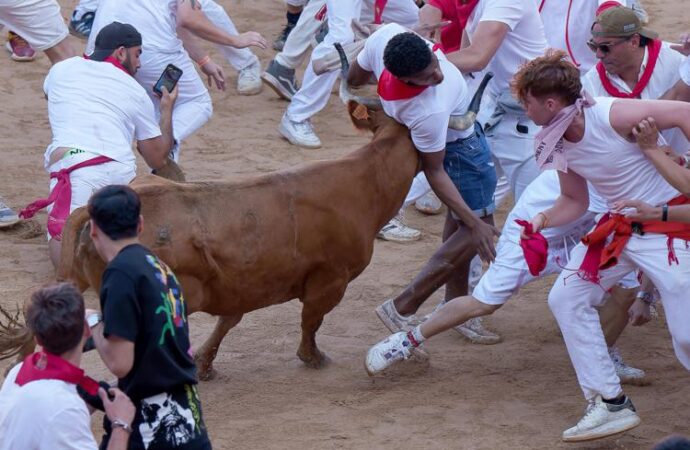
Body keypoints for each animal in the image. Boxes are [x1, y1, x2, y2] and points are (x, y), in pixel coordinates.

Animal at [52, 100, 414, 378]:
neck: (365, 181)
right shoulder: (331, 280)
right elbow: (311, 321)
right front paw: (313, 358)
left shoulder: (241, 284)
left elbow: (230, 320)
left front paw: (203, 365)